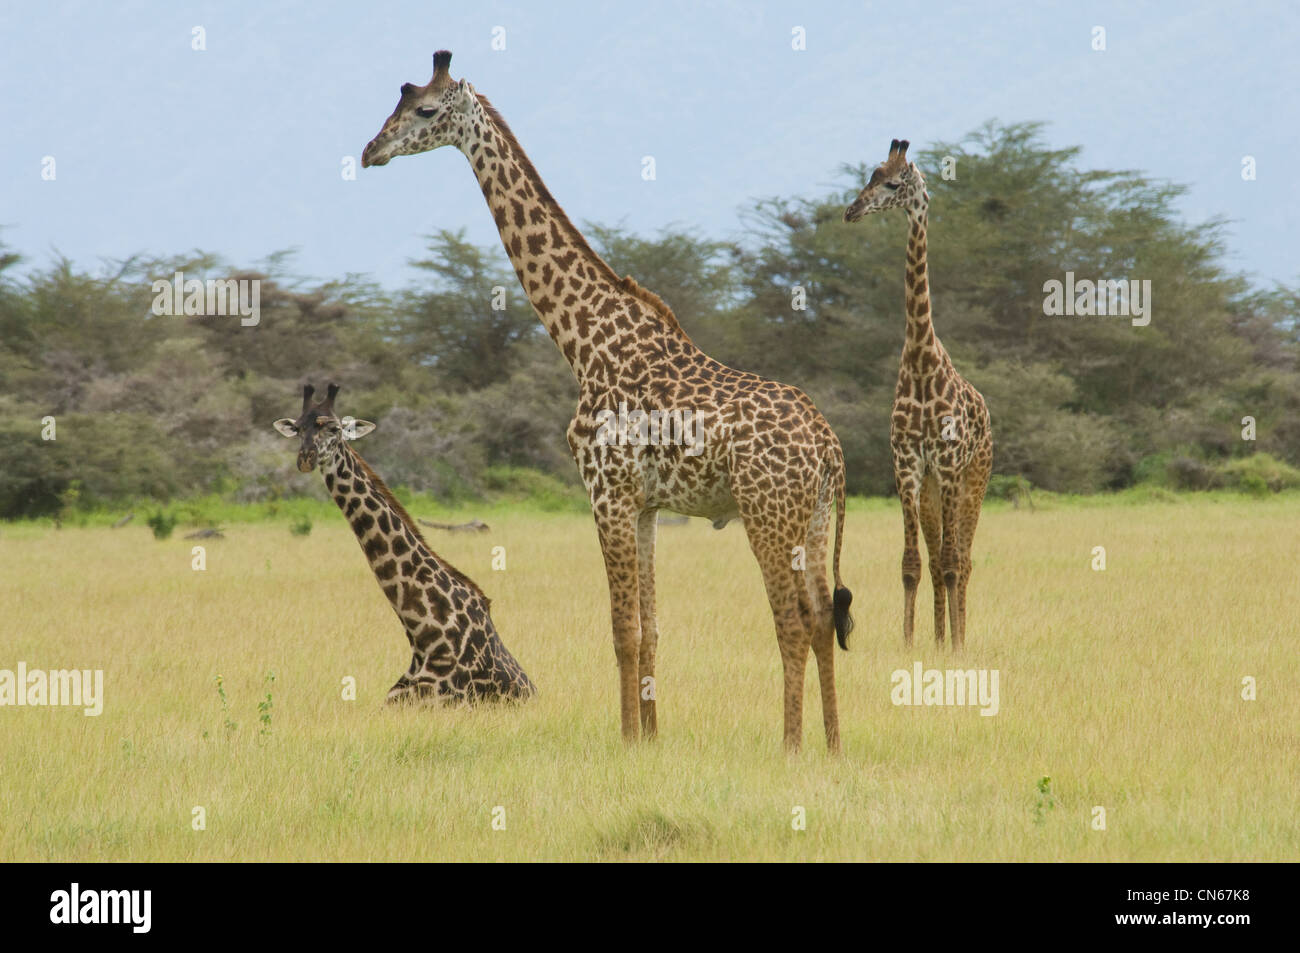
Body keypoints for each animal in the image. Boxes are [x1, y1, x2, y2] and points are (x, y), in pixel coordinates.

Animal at [364, 50, 852, 748]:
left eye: (425, 110)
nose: (370, 151)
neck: (584, 340)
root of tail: (829, 448)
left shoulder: (606, 493)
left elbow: (622, 630)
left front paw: (625, 740)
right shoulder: (645, 506)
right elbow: (649, 631)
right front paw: (650, 736)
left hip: (768, 513)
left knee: (790, 620)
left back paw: (790, 747)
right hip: (812, 516)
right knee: (819, 620)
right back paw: (832, 747)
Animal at [842, 139, 993, 647]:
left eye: (892, 183)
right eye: (869, 176)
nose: (851, 210)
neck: (921, 362)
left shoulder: (946, 465)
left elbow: (949, 562)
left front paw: (956, 649)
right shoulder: (907, 465)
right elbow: (912, 564)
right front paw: (911, 643)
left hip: (973, 480)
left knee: (963, 559)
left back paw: (958, 639)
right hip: (931, 490)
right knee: (937, 556)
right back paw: (940, 637)